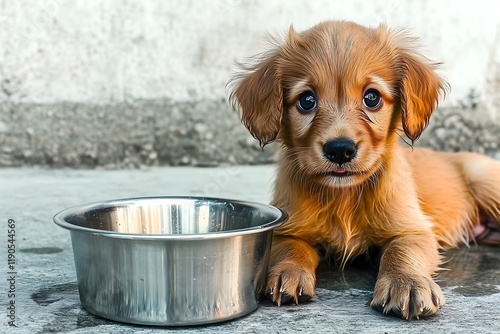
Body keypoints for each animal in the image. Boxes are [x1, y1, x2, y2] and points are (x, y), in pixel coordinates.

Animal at [228, 19, 500, 320]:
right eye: (306, 100)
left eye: (372, 98)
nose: (340, 150)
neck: (343, 197)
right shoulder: (288, 227)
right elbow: (292, 247)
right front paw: (288, 272)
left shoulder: (413, 230)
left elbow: (401, 252)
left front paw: (407, 283)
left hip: (486, 181)